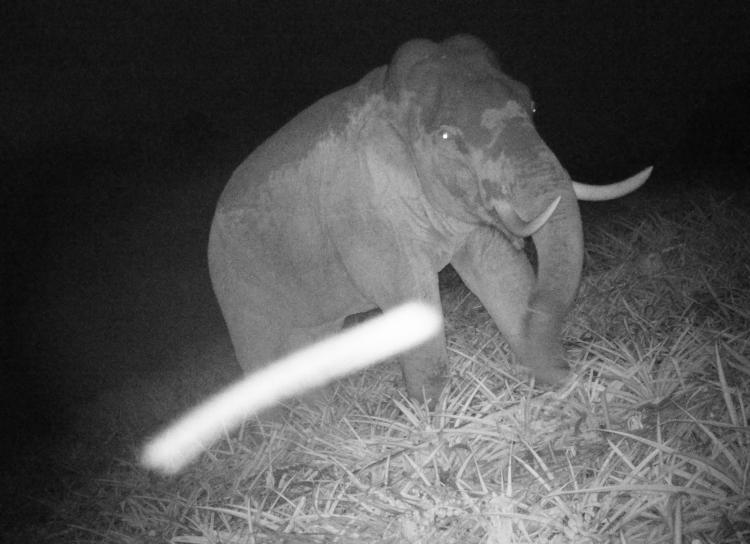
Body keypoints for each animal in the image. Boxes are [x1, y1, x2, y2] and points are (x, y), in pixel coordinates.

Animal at [210, 34, 652, 406]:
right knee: (261, 353)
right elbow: (409, 297)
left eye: (533, 107)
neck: (387, 97)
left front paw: (561, 385)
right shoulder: (365, 211)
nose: (563, 371)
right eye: (444, 138)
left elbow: (499, 270)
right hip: (238, 286)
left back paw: (320, 416)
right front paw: (436, 417)